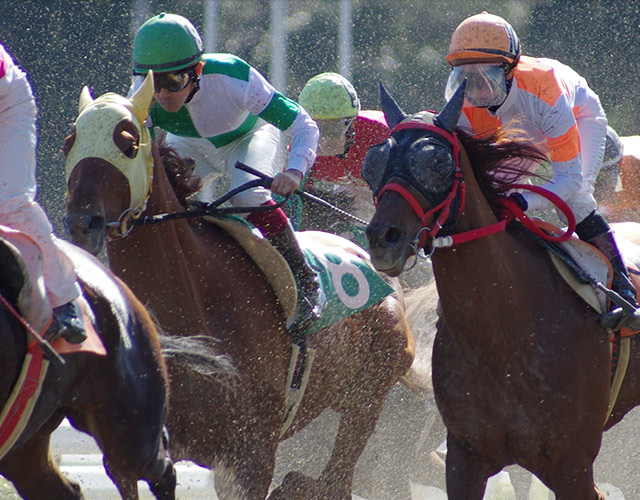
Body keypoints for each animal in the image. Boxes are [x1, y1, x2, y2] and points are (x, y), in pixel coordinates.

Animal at [58, 74, 410, 500]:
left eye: (127, 143)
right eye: (69, 143)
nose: (83, 221)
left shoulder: (250, 455)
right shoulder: (131, 449)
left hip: (370, 392)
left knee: (336, 477)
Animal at [364, 83, 640, 500]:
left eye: (437, 163)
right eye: (374, 161)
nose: (384, 238)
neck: (504, 331)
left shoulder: (572, 466)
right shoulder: (466, 457)